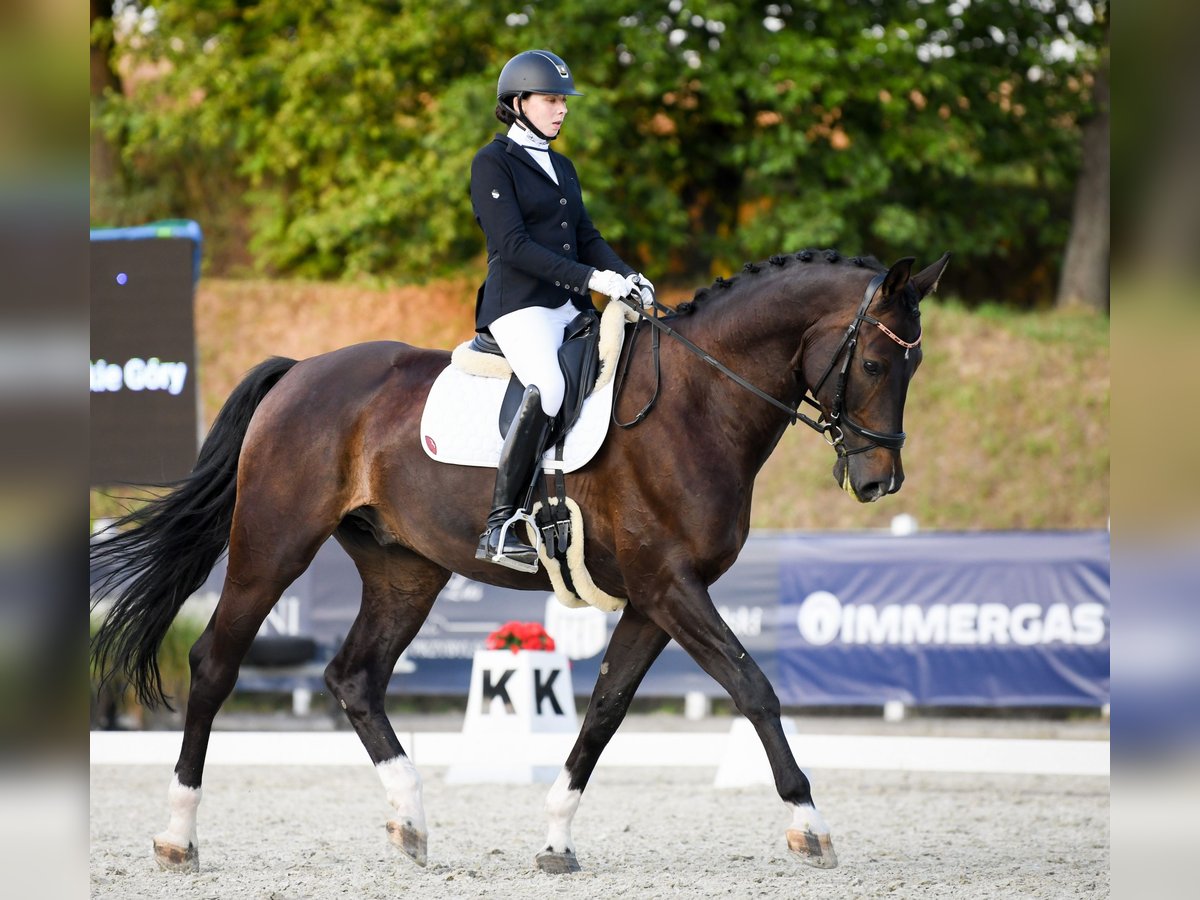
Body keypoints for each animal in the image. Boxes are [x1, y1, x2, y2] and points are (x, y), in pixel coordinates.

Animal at [88, 248, 950, 883]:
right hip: (273, 545)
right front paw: (810, 826)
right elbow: (753, 688)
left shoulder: (653, 598)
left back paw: (410, 821)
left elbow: (603, 710)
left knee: (354, 677)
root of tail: (300, 371)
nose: (881, 482)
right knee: (214, 663)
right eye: (876, 364)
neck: (697, 401)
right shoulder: (671, 586)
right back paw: (178, 836)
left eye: (913, 369)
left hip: (405, 569)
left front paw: (557, 839)